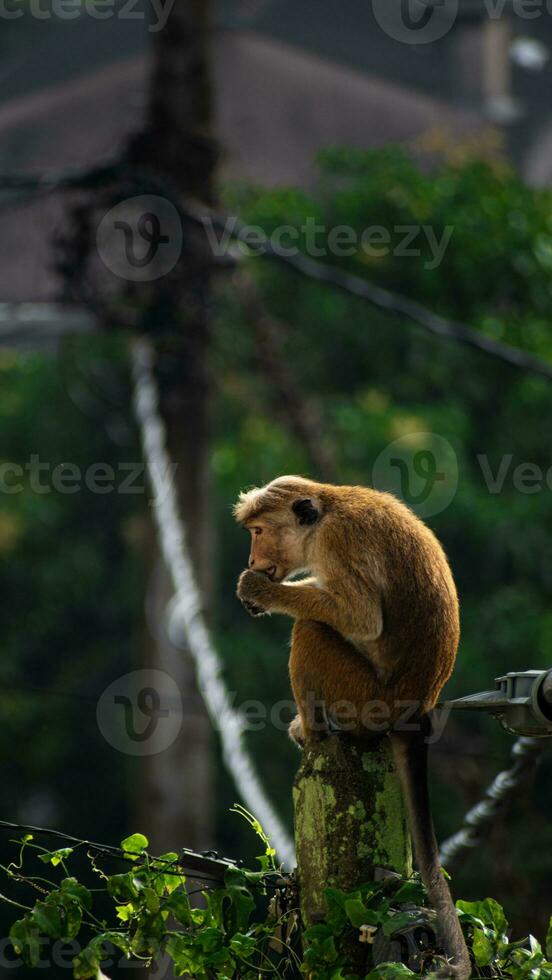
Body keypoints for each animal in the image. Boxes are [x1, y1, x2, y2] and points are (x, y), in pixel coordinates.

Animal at [233, 476, 470, 980]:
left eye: (259, 531)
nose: (252, 559)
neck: (327, 510)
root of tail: (416, 710)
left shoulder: (338, 542)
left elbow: (361, 616)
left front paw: (260, 591)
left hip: (363, 699)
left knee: (310, 630)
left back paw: (314, 734)